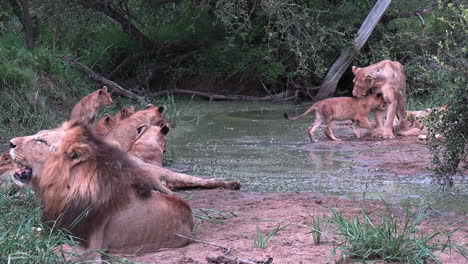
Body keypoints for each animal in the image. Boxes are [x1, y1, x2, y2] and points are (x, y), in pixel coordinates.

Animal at [9, 122, 193, 262]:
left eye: (41, 141)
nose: (10, 143)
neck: (58, 192)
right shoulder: (52, 229)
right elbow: (28, 236)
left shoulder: (88, 251)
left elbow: (42, 249)